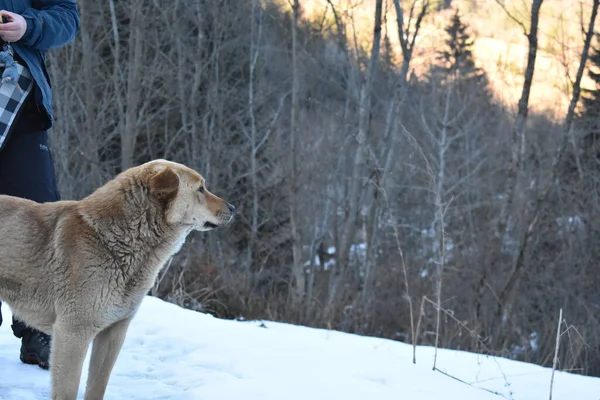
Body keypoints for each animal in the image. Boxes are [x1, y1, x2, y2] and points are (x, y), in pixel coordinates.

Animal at [0, 159, 234, 400]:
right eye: (201, 189)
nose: (233, 208)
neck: (115, 242)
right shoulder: (73, 333)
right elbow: (68, 390)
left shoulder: (113, 332)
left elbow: (97, 386)